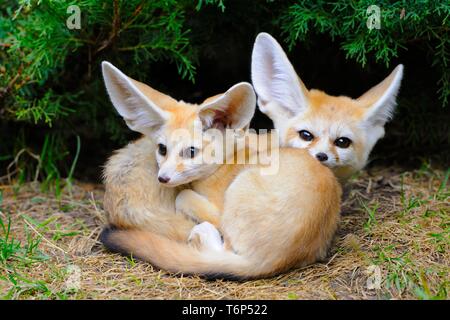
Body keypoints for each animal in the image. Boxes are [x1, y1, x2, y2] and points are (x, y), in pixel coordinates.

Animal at [100, 61, 340, 278]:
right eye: (162, 149)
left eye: (191, 152)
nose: (162, 178)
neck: (225, 164)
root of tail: (273, 261)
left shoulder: (216, 208)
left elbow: (183, 196)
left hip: (237, 194)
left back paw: (202, 233)